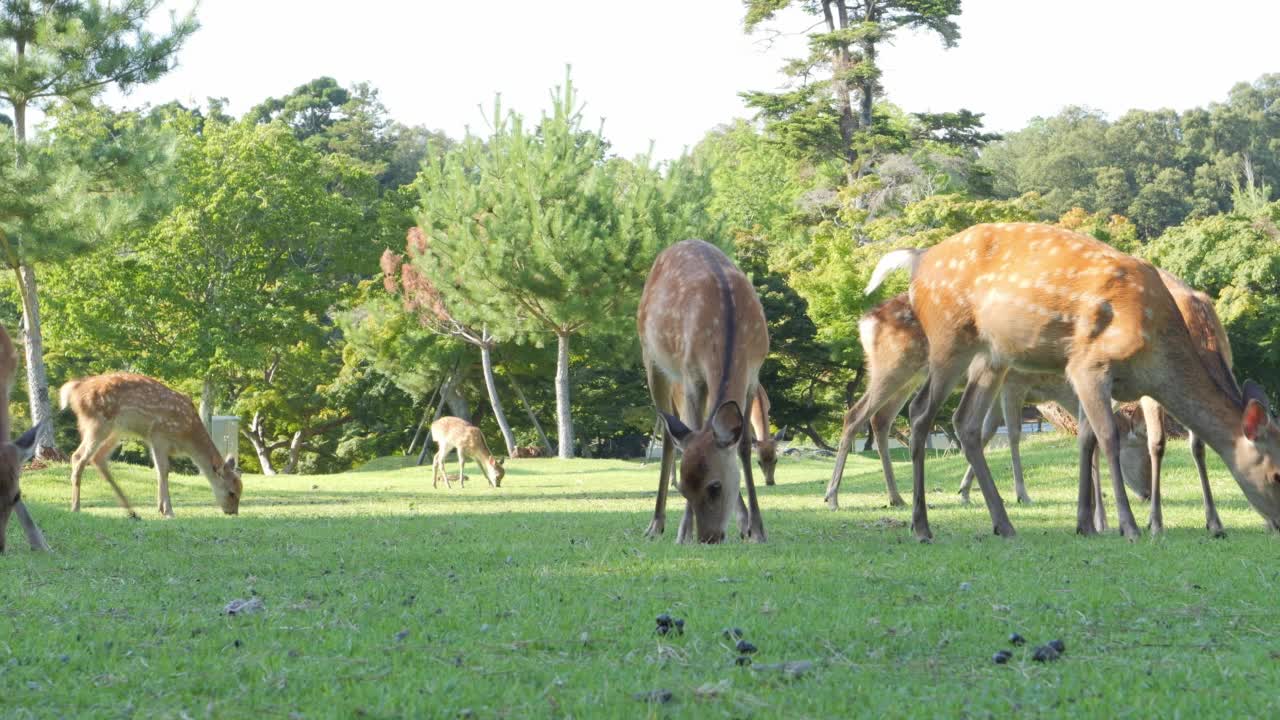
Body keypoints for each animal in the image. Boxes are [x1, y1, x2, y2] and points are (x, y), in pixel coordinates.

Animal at [58, 371, 241, 517]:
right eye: (232, 493)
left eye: (241, 490)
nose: (233, 512)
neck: (187, 436)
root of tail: (73, 391)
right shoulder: (159, 435)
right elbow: (164, 470)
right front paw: (168, 511)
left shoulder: (153, 440)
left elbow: (159, 471)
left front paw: (160, 508)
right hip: (98, 422)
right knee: (79, 457)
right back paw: (76, 507)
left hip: (117, 429)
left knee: (97, 458)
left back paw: (131, 511)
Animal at [640, 238, 768, 540]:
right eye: (684, 490)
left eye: (715, 487)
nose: (708, 538)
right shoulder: (692, 376)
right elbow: (693, 434)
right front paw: (683, 533)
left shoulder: (753, 376)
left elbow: (744, 445)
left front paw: (757, 529)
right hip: (652, 357)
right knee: (669, 438)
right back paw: (656, 524)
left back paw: (742, 523)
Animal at [860, 221, 1280, 540]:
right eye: (1277, 474)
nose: (1276, 524)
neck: (1154, 357)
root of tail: (918, 260)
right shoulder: (1088, 363)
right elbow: (1107, 437)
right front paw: (1129, 527)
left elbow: (1087, 437)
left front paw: (1086, 524)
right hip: (948, 341)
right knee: (919, 413)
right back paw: (921, 526)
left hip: (990, 356)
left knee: (965, 422)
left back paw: (1002, 524)